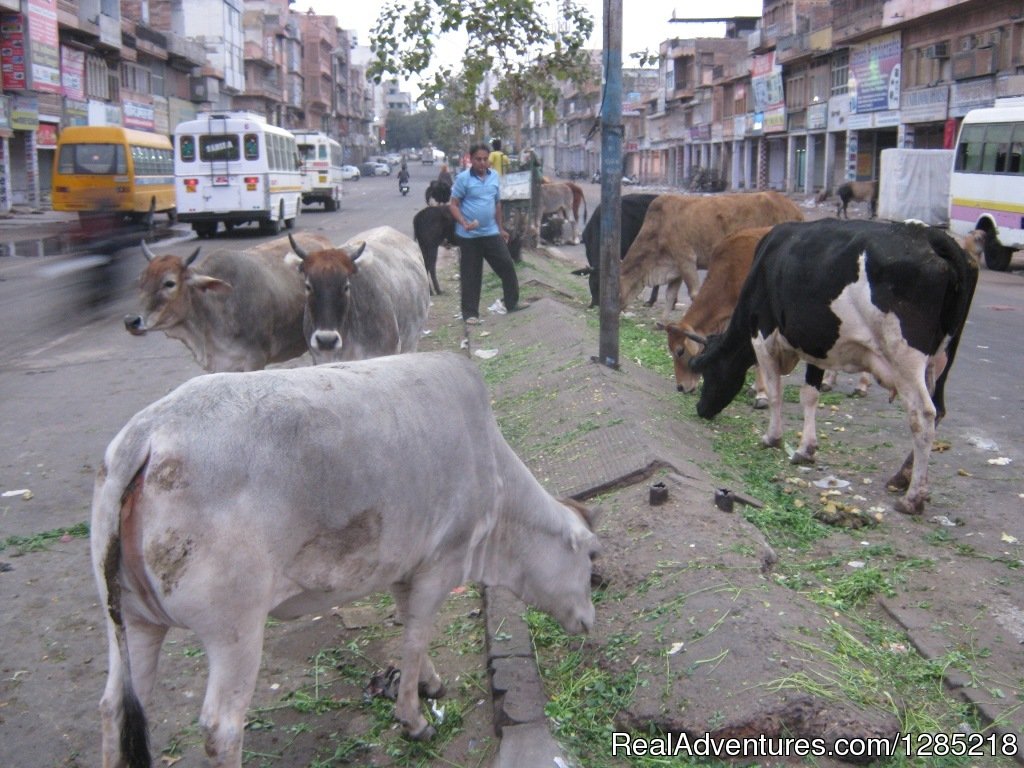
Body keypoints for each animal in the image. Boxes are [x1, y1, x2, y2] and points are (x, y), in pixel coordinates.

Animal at [92, 354, 598, 768]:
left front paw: (429, 684)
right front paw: (414, 720)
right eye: (590, 563)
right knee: (221, 728)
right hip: (234, 630)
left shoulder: (403, 565)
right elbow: (416, 637)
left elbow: (409, 628)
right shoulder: (440, 563)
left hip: (133, 620)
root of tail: (150, 434)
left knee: (116, 707)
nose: (590, 621)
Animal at [618, 195, 802, 325]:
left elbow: (694, 294)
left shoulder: (686, 259)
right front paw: (662, 322)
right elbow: (670, 295)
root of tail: (796, 210)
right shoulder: (675, 267)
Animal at [688, 218, 974, 518]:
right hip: (941, 359)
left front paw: (772, 438)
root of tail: (932, 237)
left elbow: (776, 392)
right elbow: (810, 395)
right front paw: (805, 449)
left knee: (923, 415)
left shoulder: (762, 336)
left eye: (708, 371)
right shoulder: (816, 346)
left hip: (904, 357)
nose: (701, 409)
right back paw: (901, 478)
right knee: (939, 409)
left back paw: (912, 498)